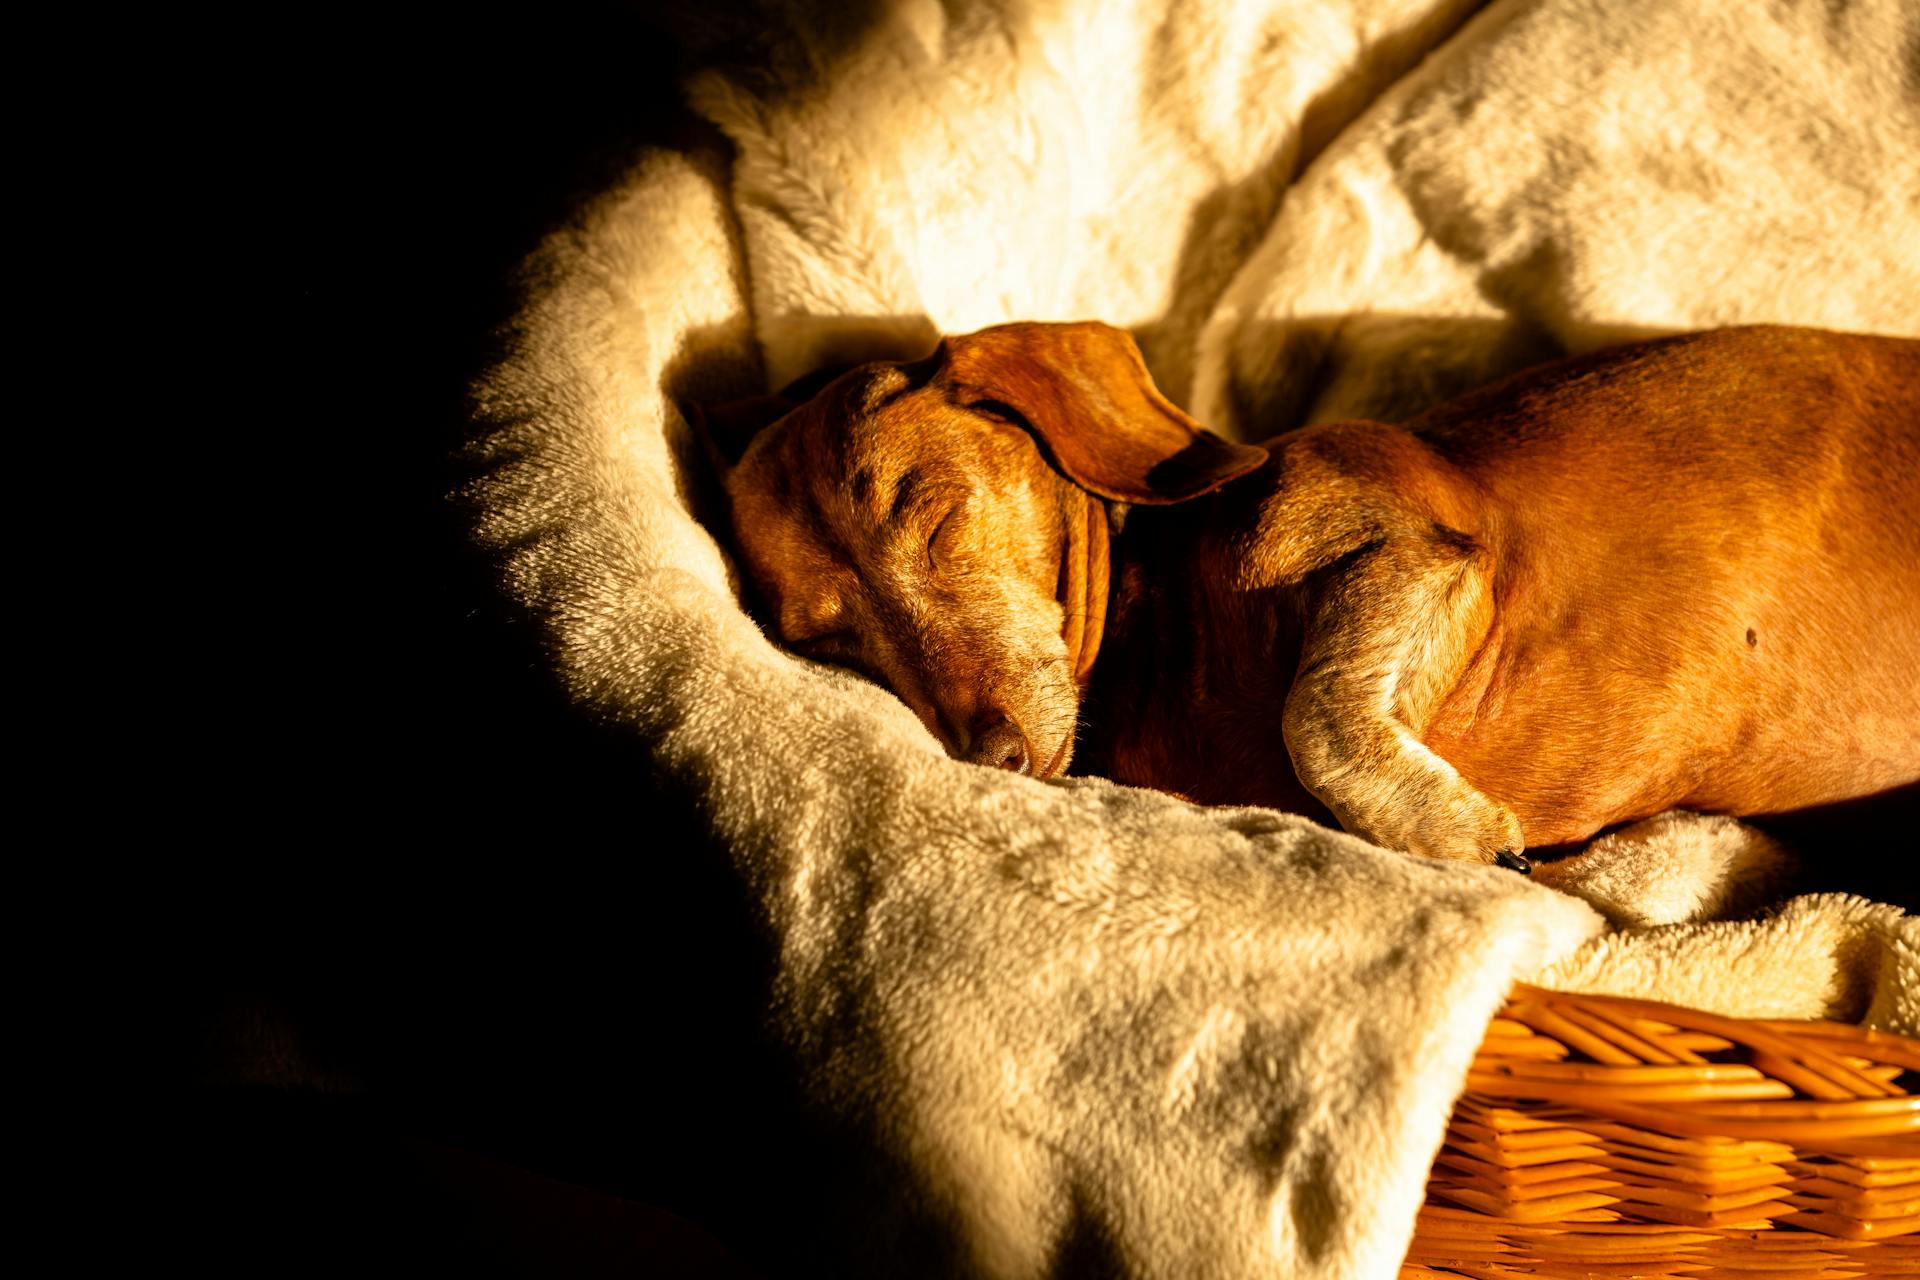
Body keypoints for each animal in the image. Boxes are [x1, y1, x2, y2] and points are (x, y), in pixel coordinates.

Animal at [710, 326, 1920, 875]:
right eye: (833, 639)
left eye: (934, 517)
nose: (990, 754)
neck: (1164, 625)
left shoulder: (1418, 543)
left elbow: (1314, 718)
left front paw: (1461, 832)